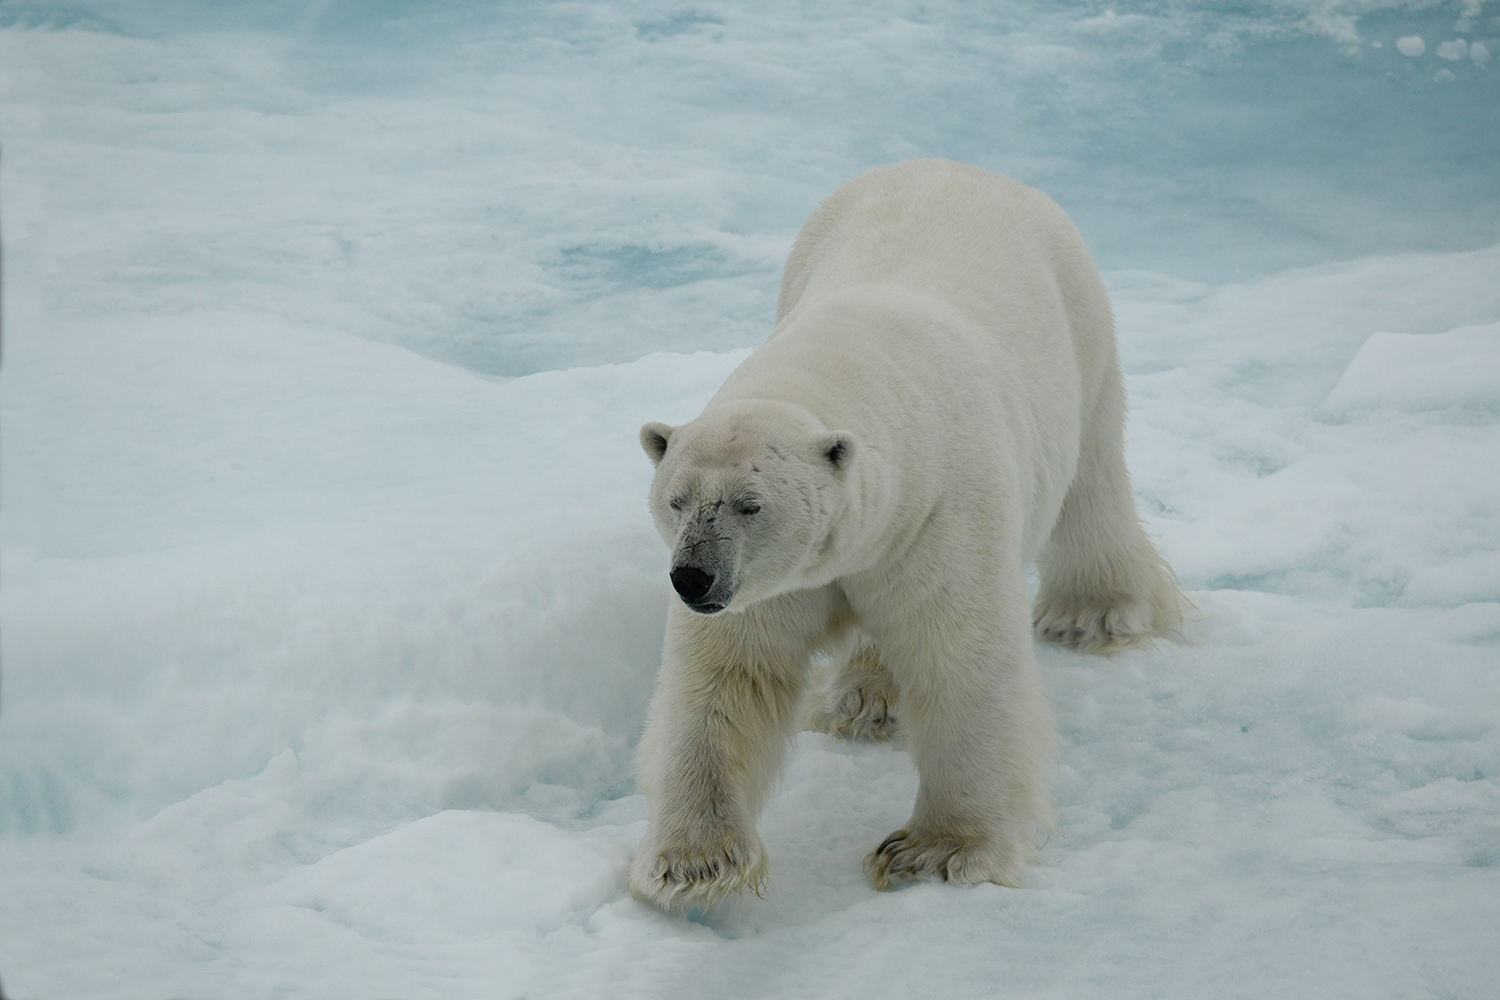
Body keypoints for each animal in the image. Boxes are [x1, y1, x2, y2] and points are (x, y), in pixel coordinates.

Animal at [627, 158, 1176, 917]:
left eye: (749, 504)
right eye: (674, 501)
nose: (692, 579)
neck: (845, 363)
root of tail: (962, 167)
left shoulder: (939, 513)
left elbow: (960, 658)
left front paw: (936, 851)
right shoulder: (776, 581)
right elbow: (727, 677)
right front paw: (695, 863)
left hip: (1081, 324)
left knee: (1091, 482)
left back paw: (1093, 613)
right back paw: (863, 699)